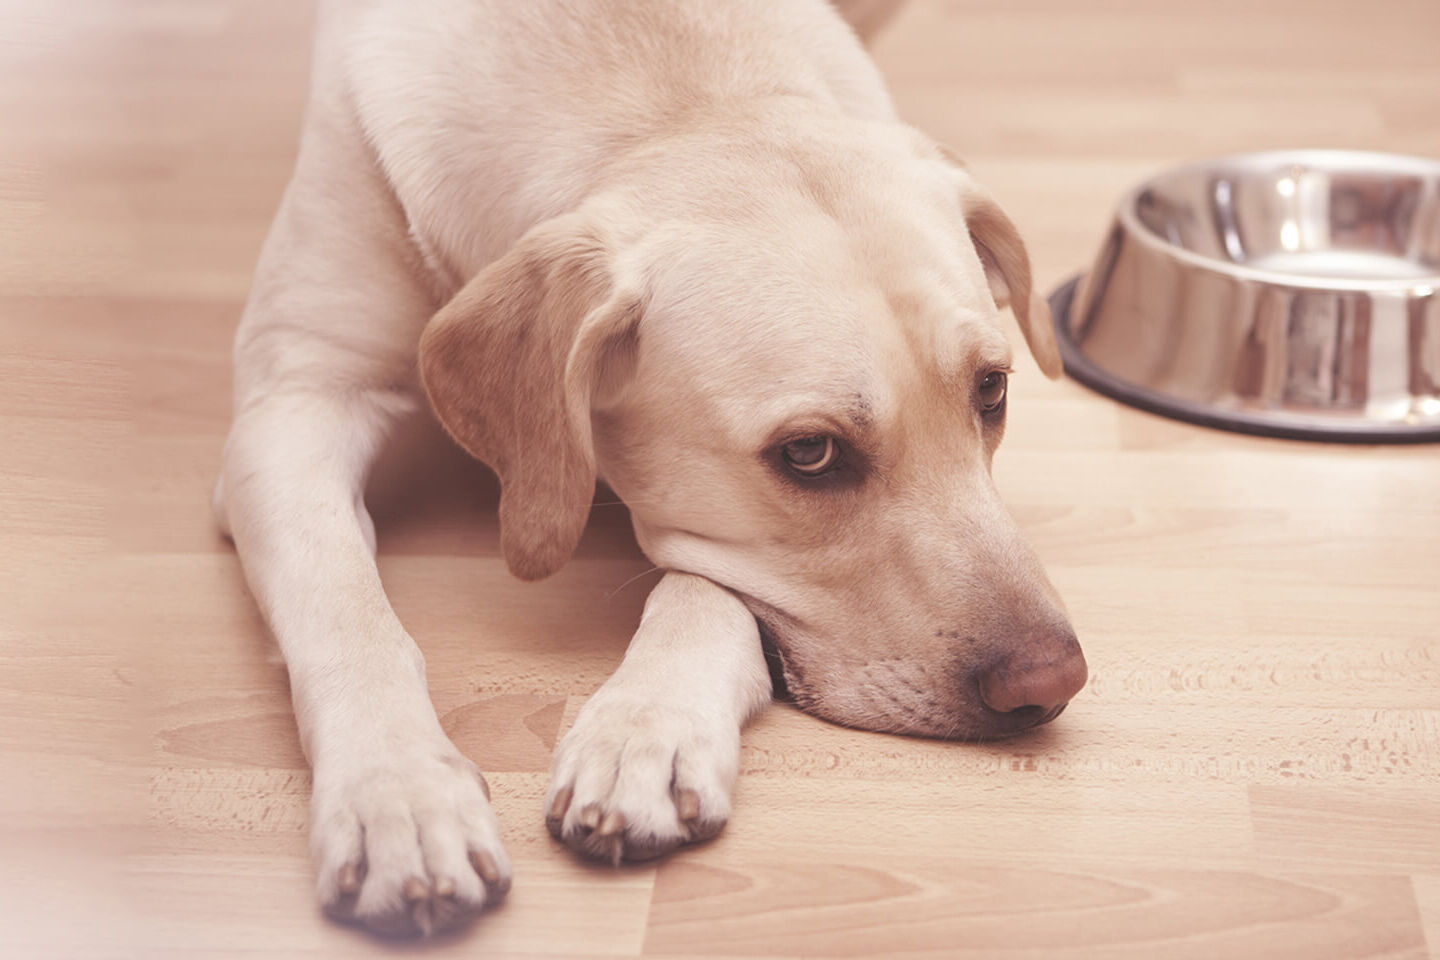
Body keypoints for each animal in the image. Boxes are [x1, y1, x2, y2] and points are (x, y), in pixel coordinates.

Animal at [218, 0, 1082, 938]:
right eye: (809, 454)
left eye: (991, 390)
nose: (1053, 682)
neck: (676, 100)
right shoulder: (294, 402)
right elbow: (346, 611)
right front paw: (400, 799)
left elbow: (704, 590)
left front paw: (646, 732)